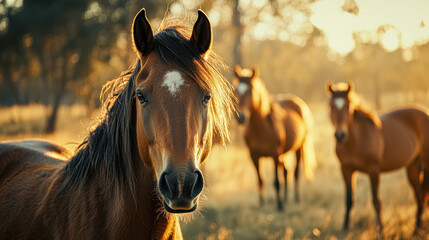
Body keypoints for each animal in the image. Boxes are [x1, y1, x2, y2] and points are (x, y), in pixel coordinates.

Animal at [232, 65, 316, 210]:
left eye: (250, 91)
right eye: (236, 90)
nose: (240, 117)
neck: (260, 129)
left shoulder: (275, 155)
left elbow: (277, 182)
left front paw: (279, 206)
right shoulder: (254, 156)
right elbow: (260, 180)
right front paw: (262, 205)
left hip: (298, 149)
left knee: (295, 173)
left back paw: (296, 198)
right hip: (284, 153)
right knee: (287, 172)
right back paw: (286, 199)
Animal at [324, 81, 428, 232]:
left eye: (348, 106)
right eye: (331, 106)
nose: (340, 135)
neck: (356, 141)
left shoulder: (374, 171)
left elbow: (376, 201)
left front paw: (380, 229)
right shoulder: (346, 170)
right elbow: (349, 200)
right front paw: (345, 228)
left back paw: (417, 229)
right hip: (412, 166)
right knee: (419, 195)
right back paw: (417, 228)